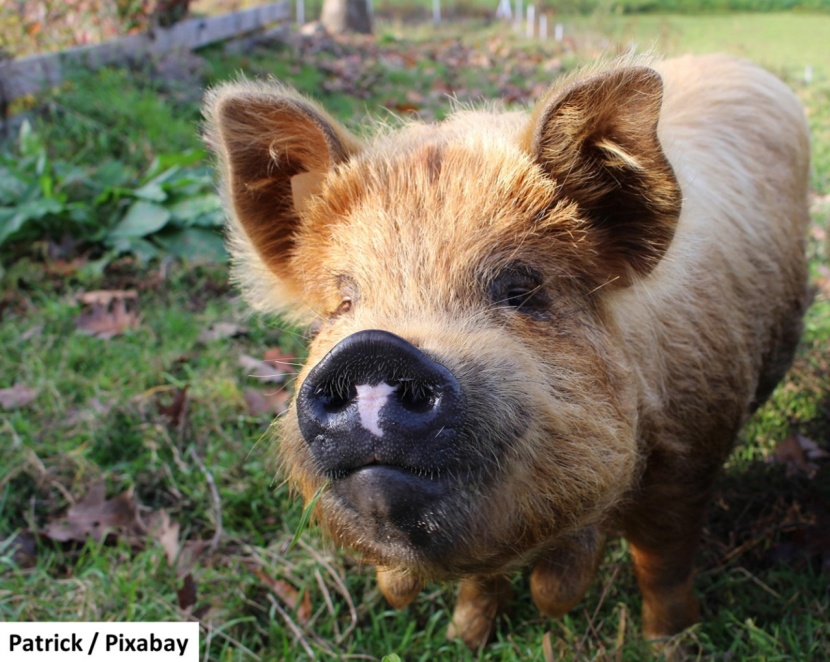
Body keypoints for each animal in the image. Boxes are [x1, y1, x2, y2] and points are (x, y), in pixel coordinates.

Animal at [204, 54, 810, 648]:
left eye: (520, 288)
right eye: (342, 303)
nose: (372, 349)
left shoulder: (692, 454)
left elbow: (661, 565)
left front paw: (670, 645)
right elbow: (481, 580)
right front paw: (462, 639)